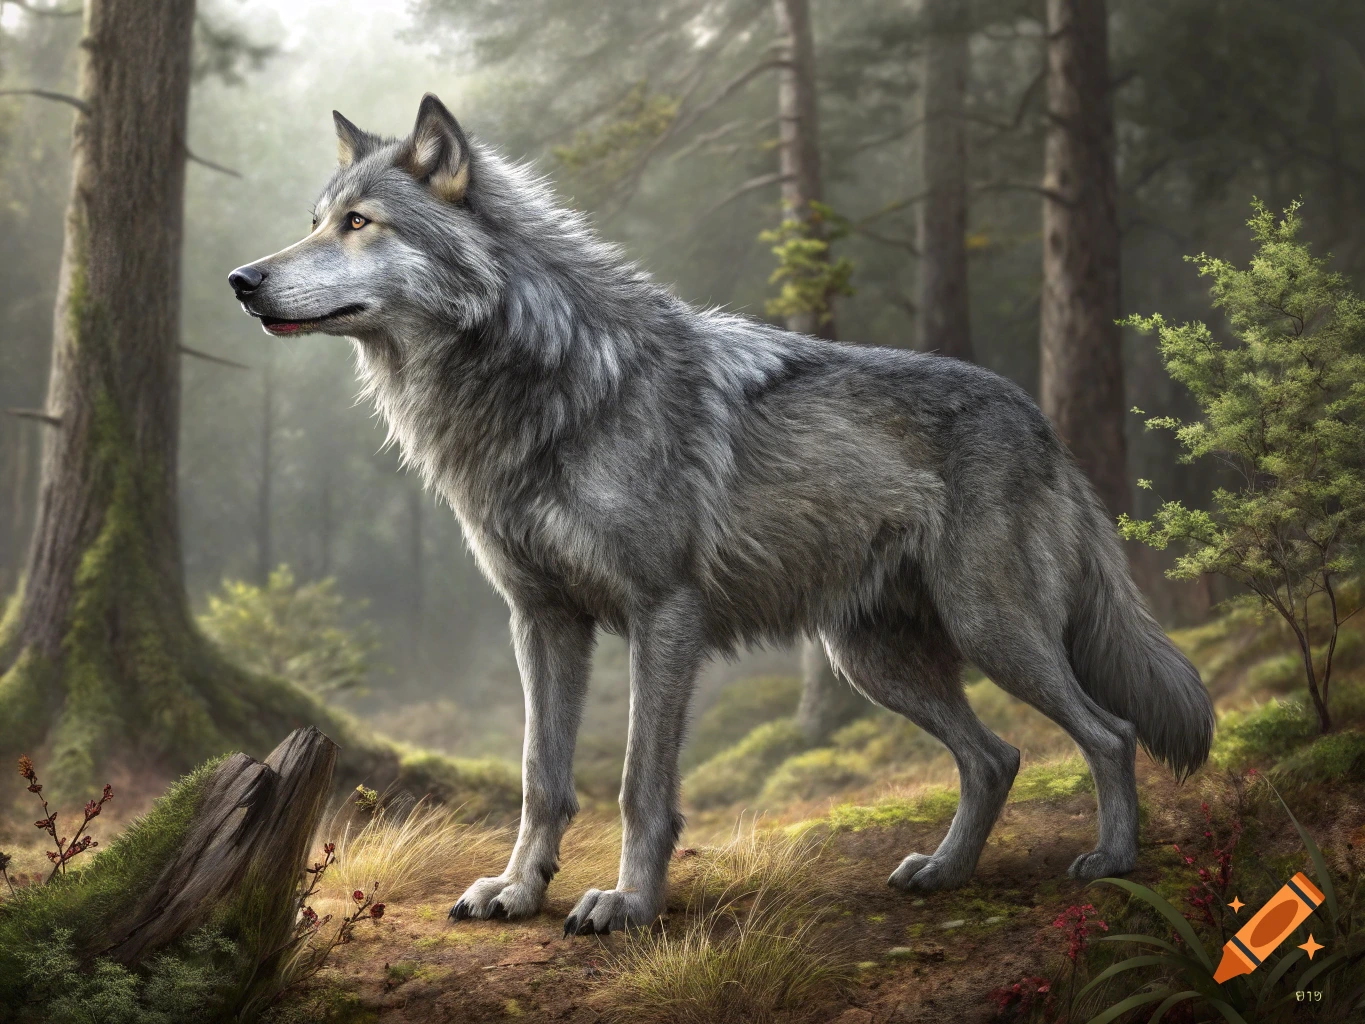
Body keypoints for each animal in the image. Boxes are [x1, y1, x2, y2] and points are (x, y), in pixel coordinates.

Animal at [229, 94, 1214, 935]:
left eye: (359, 224)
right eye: (316, 220)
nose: (241, 278)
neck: (542, 390)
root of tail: (1042, 422)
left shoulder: (663, 615)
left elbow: (638, 786)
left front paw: (628, 904)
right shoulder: (542, 620)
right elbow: (541, 777)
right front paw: (517, 890)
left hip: (990, 631)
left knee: (1110, 732)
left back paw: (1113, 861)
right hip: (872, 661)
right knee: (996, 757)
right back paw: (944, 871)